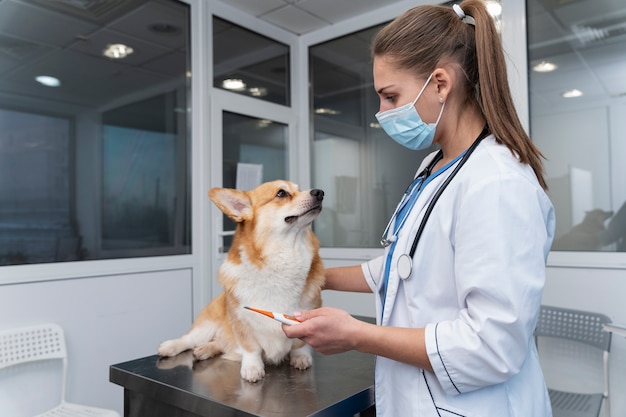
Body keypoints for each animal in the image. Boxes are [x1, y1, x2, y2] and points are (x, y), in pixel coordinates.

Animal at [156, 180, 324, 382]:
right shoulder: (241, 320)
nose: (320, 192)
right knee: (190, 338)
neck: (284, 257)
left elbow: (300, 344)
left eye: (300, 189)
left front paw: (300, 358)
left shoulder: (307, 314)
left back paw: (204, 349)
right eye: (281, 193)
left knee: (220, 343)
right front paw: (252, 368)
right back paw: (170, 346)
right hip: (208, 324)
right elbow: (251, 348)